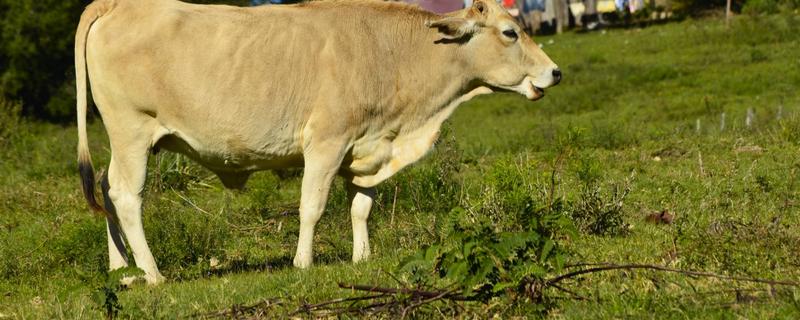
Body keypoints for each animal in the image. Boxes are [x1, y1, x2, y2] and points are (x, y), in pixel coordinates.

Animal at [76, 0, 564, 284]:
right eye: (510, 33)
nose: (555, 72)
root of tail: (117, 4)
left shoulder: (368, 145)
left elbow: (361, 207)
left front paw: (362, 258)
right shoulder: (326, 143)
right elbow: (312, 207)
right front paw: (303, 263)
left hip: (124, 140)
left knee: (106, 187)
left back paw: (122, 270)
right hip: (132, 131)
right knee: (126, 196)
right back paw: (152, 274)